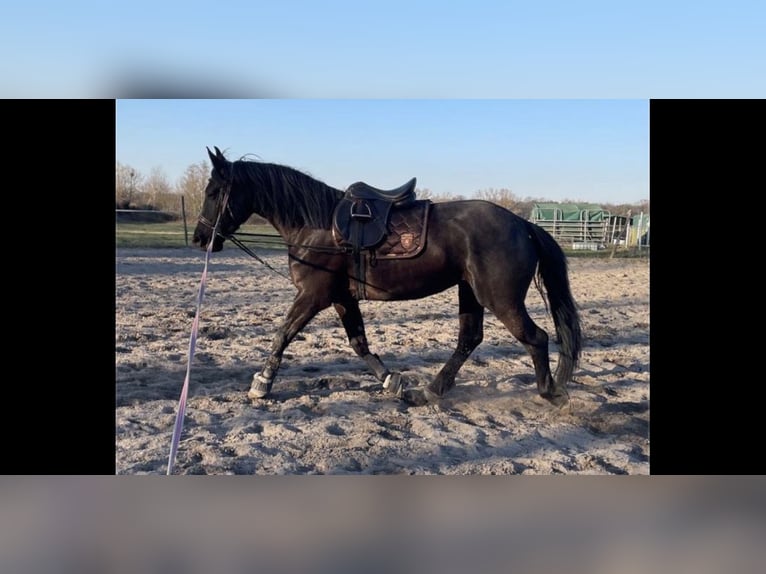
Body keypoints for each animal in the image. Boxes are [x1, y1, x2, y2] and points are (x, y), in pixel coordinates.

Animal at [192, 146, 582, 408]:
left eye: (213, 192)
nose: (200, 237)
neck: (315, 225)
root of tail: (523, 225)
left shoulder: (313, 296)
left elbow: (282, 335)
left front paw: (262, 383)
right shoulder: (341, 298)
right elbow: (359, 343)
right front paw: (390, 381)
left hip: (499, 297)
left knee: (535, 337)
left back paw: (550, 392)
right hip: (470, 292)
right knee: (469, 339)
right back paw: (430, 390)